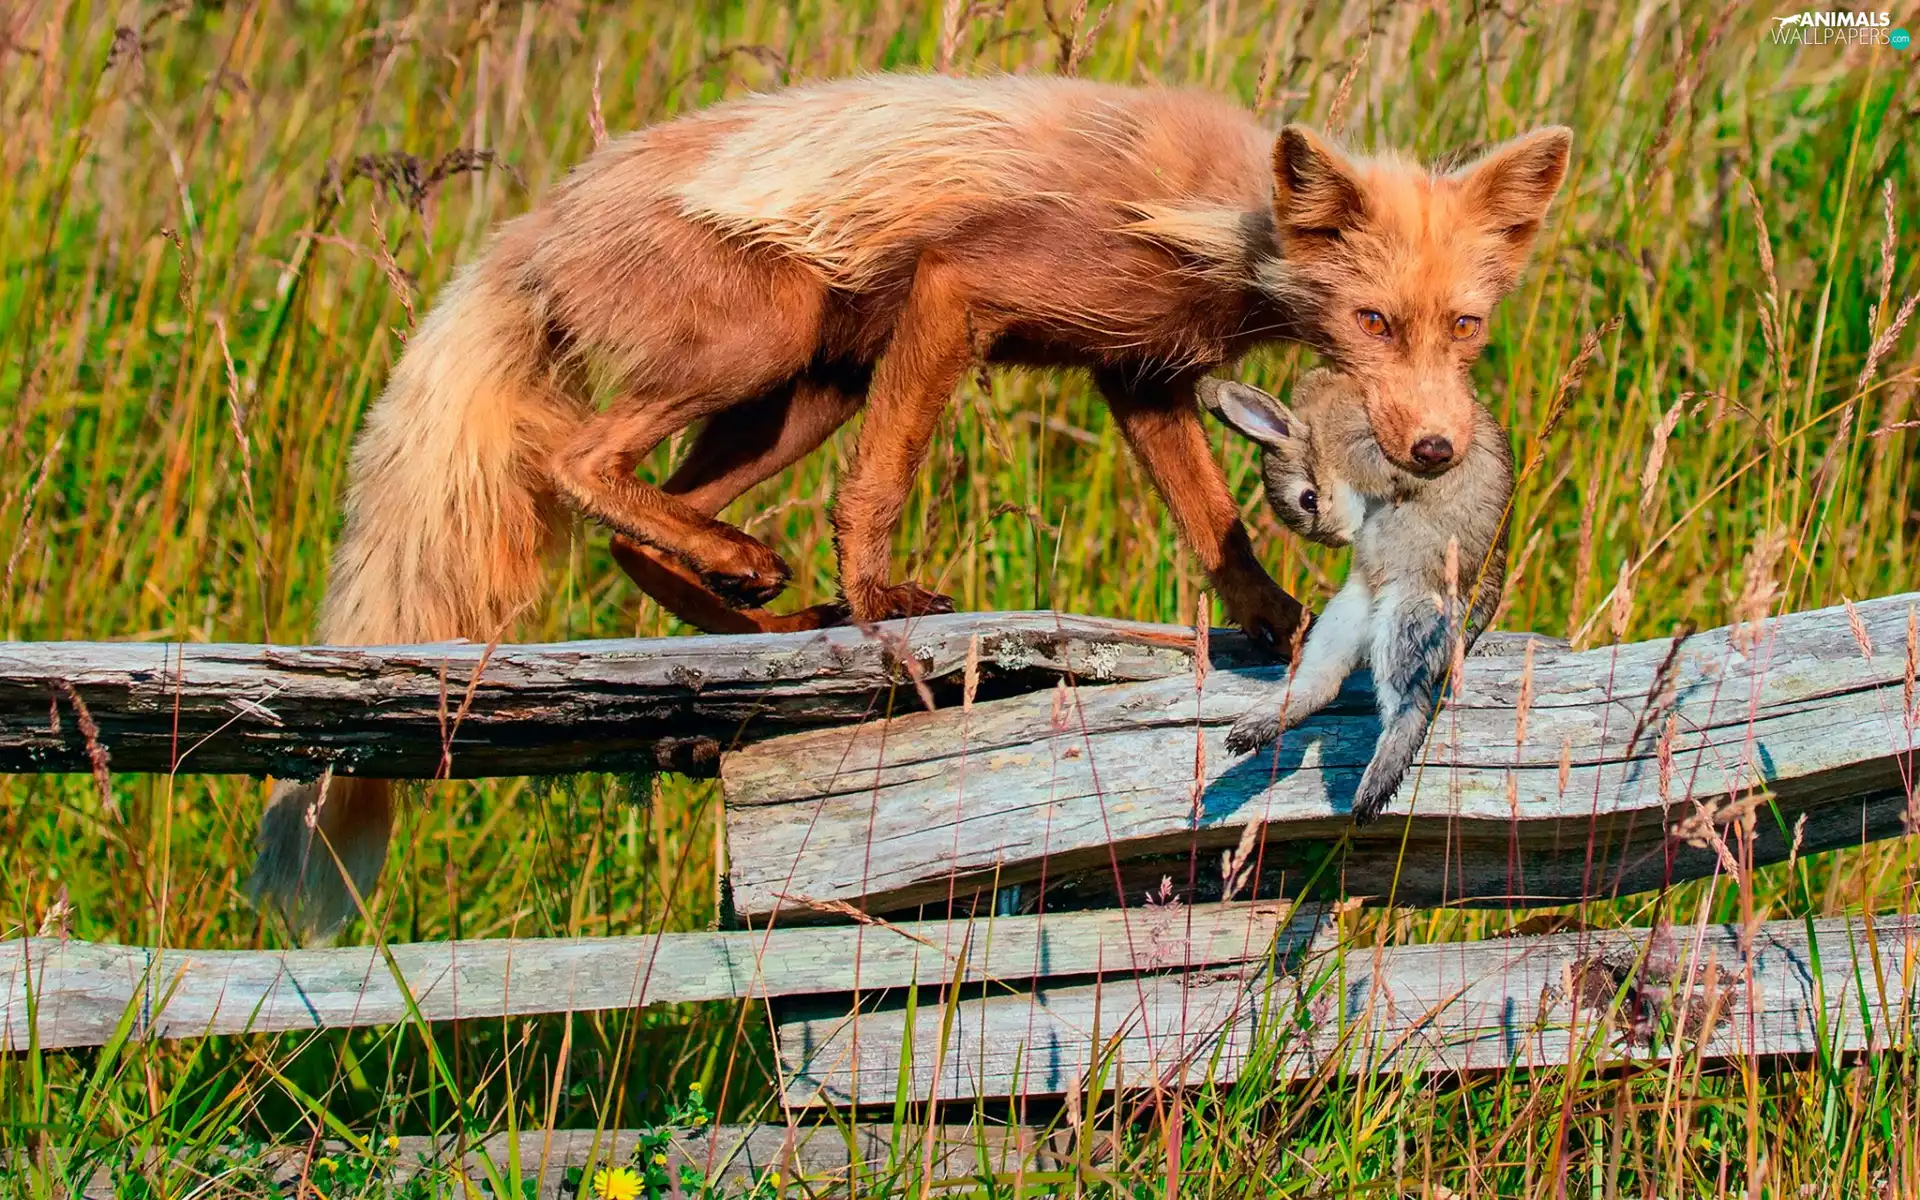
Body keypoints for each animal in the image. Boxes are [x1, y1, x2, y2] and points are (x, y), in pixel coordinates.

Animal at [1200, 369, 1513, 823]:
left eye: (1308, 499)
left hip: (1407, 619)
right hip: (1346, 616)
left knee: (1409, 709)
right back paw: (1250, 731)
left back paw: (1371, 794)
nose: (1337, 539)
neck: (1322, 434)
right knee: (1322, 684)